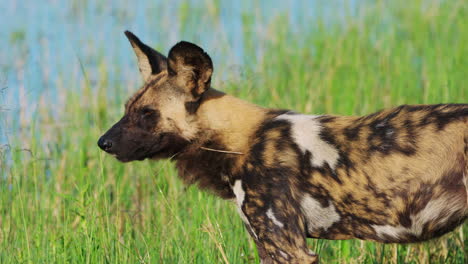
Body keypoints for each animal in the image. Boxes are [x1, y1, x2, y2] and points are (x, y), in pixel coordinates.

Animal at [97, 31, 466, 264]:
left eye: (148, 114)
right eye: (127, 108)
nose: (103, 142)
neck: (240, 142)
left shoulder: (288, 246)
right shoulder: (268, 245)